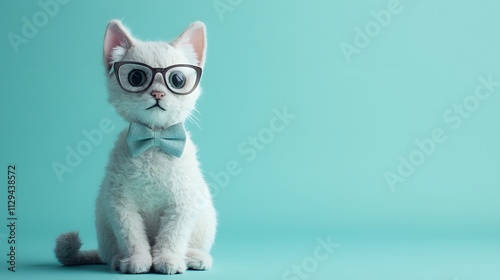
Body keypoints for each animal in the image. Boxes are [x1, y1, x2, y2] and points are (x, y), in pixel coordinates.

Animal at [54, 20, 217, 276]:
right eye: (137, 77)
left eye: (177, 80)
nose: (158, 93)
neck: (154, 138)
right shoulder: (121, 205)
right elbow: (133, 239)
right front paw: (137, 260)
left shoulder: (181, 205)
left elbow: (171, 239)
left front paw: (167, 260)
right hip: (104, 223)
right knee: (109, 253)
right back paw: (118, 260)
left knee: (191, 246)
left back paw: (193, 258)